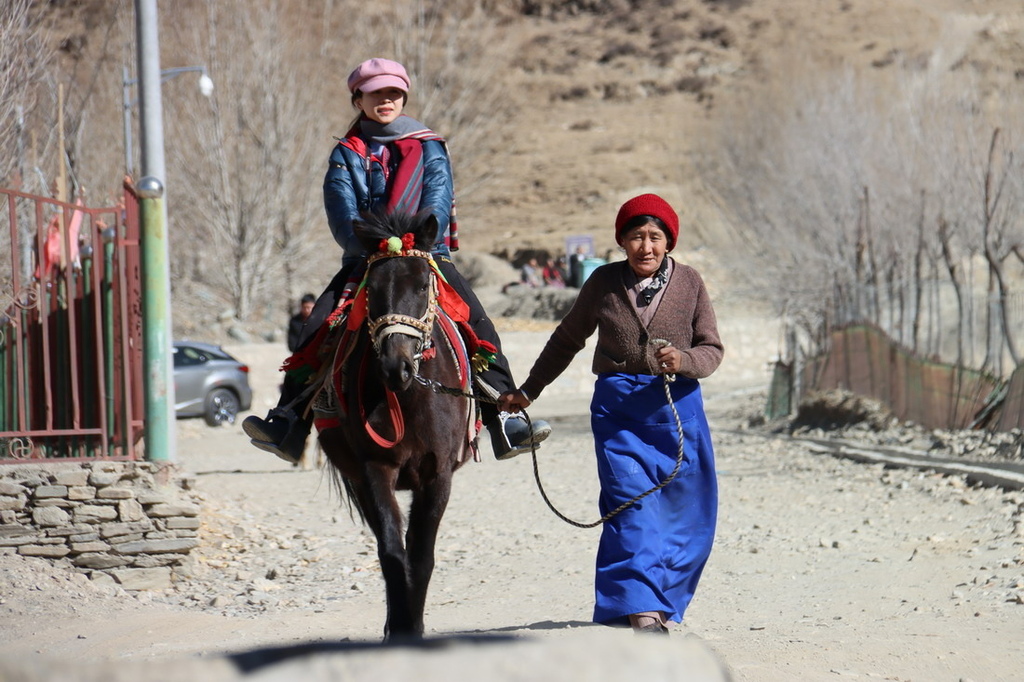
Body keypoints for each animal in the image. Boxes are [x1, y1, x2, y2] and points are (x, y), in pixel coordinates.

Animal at [317, 209, 473, 638]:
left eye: (422, 285)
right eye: (371, 289)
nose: (395, 366)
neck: (410, 397)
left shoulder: (438, 475)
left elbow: (421, 555)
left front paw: (412, 626)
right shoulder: (375, 470)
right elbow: (392, 551)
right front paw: (400, 625)